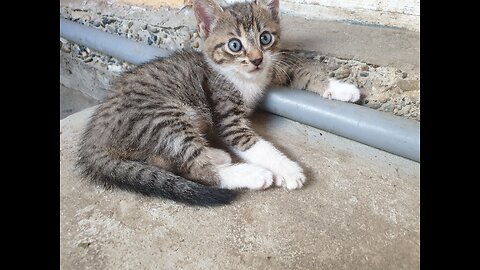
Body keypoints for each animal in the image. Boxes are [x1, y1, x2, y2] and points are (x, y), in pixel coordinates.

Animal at [75, 0, 360, 206]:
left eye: (265, 38)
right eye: (235, 45)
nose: (256, 59)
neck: (243, 77)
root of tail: (93, 136)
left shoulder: (273, 67)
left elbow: (301, 70)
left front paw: (341, 88)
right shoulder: (226, 114)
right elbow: (255, 144)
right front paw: (287, 169)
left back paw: (217, 155)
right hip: (160, 115)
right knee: (196, 169)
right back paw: (249, 173)